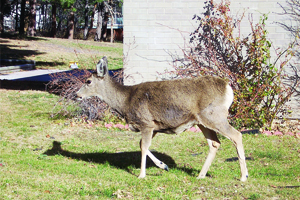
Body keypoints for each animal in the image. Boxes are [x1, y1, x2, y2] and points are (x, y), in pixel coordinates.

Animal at [77, 56, 248, 181]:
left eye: (88, 81)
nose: (77, 95)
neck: (126, 101)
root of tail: (228, 87)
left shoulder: (146, 122)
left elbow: (144, 146)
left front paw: (142, 175)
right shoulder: (154, 127)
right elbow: (142, 145)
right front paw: (163, 165)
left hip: (214, 115)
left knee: (237, 135)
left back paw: (243, 176)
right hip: (202, 121)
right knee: (215, 143)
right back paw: (201, 175)